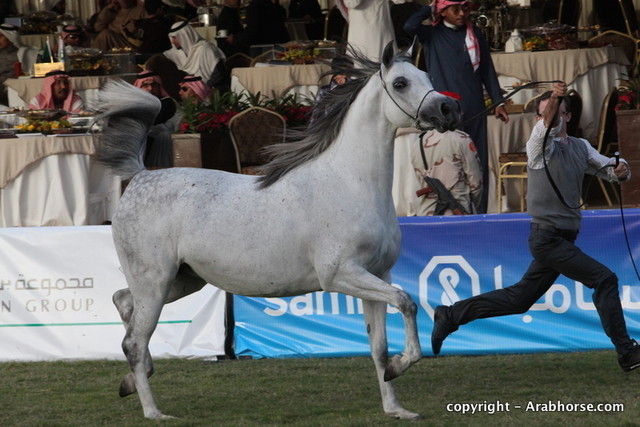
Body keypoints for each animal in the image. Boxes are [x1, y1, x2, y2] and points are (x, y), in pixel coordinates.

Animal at [95, 42, 461, 420]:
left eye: (427, 76)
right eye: (401, 83)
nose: (449, 109)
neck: (350, 183)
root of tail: (140, 176)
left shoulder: (379, 276)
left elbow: (379, 347)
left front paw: (396, 406)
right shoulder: (341, 275)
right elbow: (407, 303)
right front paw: (402, 365)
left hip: (182, 280)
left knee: (123, 303)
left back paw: (131, 381)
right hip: (155, 281)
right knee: (134, 341)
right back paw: (154, 411)